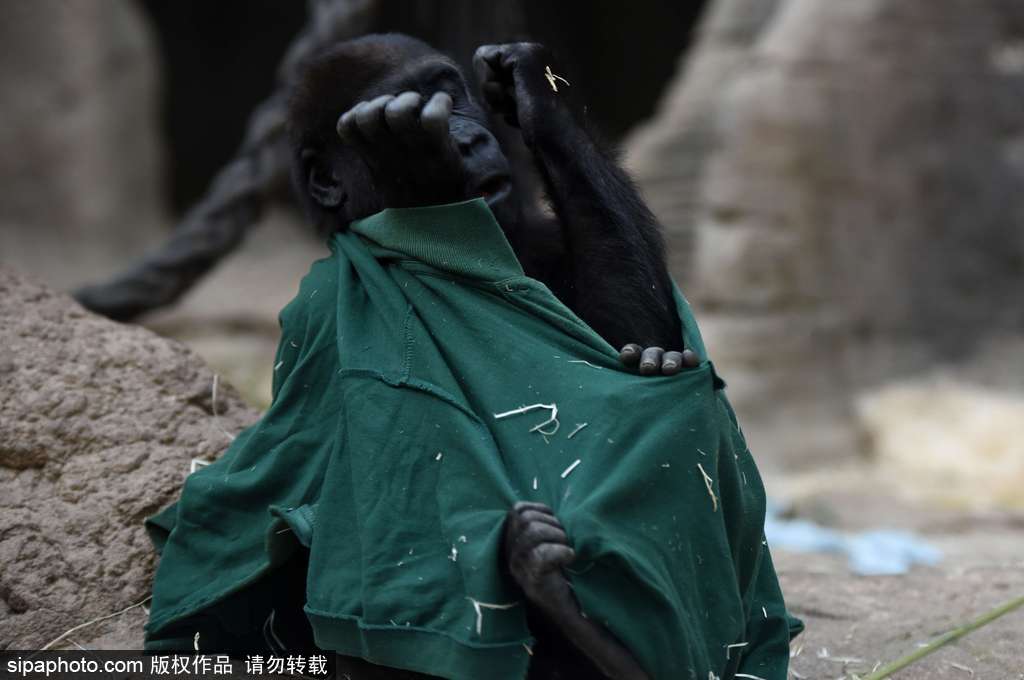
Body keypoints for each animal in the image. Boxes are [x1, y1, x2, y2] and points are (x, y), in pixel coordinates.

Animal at [286, 33, 696, 680]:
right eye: (407, 104)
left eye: (451, 92)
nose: (468, 139)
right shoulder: (318, 313)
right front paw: (411, 160)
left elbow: (620, 347)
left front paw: (530, 93)